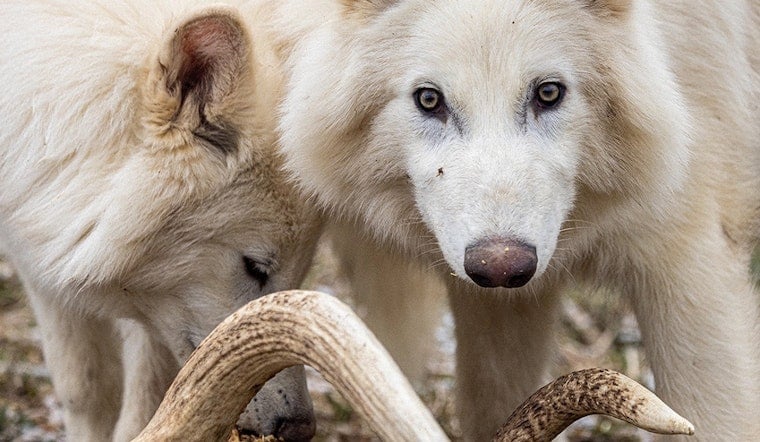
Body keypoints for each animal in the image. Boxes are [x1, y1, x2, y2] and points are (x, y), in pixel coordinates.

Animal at [0, 2, 321, 441]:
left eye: (300, 274)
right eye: (256, 268)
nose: (300, 428)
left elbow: (150, 398)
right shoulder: (37, 257)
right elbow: (85, 390)